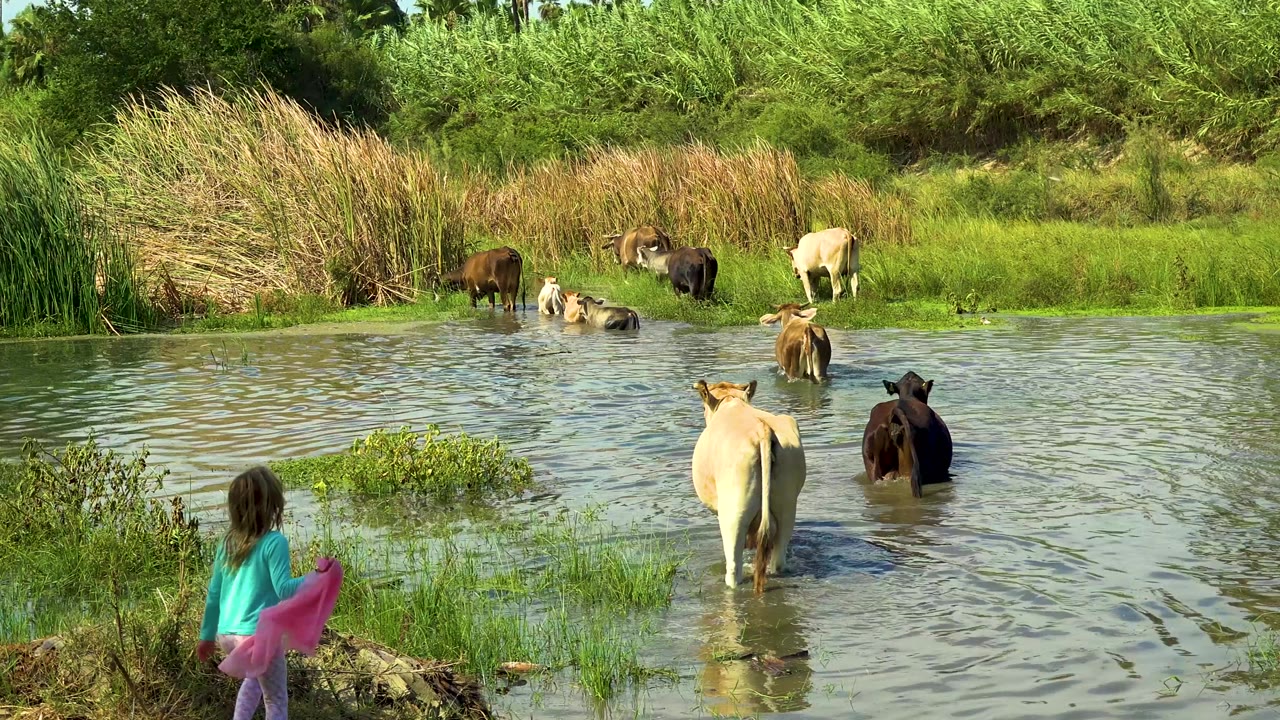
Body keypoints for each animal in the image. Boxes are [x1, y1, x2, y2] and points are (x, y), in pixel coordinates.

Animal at [692, 379, 806, 594]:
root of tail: (762, 429)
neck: (731, 402)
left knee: (733, 567)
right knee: (778, 560)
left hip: (733, 512)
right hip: (787, 507)